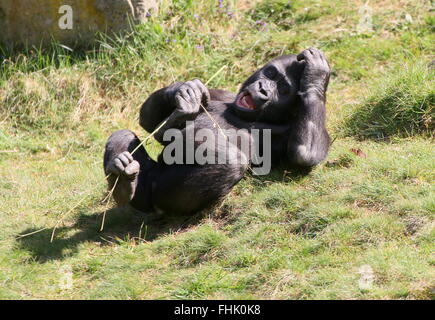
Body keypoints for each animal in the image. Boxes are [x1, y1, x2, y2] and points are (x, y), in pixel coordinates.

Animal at [104, 47, 330, 215]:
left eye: (283, 90)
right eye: (271, 73)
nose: (263, 88)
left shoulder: (288, 130)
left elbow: (304, 155)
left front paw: (316, 76)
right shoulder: (220, 94)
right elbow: (148, 120)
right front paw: (186, 91)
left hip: (159, 197)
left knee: (232, 164)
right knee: (125, 135)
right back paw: (121, 180)